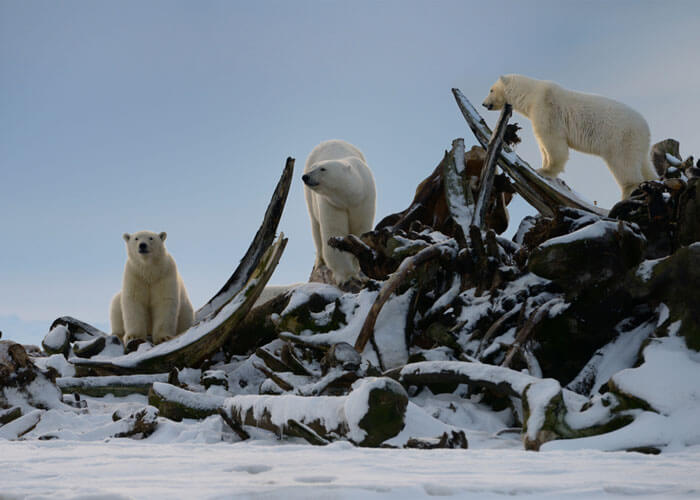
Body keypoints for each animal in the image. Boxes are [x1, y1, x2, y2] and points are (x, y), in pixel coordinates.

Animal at [302, 139, 376, 286]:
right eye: (313, 167)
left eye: (323, 168)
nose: (305, 176)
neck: (349, 197)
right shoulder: (332, 204)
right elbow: (334, 232)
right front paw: (347, 276)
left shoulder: (364, 200)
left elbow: (360, 230)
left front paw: (357, 270)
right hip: (310, 198)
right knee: (315, 227)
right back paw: (320, 262)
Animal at [482, 74, 657, 199]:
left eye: (491, 90)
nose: (484, 104)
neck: (532, 94)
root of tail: (646, 127)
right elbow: (543, 144)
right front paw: (543, 165)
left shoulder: (547, 107)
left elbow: (553, 141)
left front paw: (545, 171)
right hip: (637, 143)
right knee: (643, 163)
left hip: (621, 137)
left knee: (623, 163)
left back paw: (628, 191)